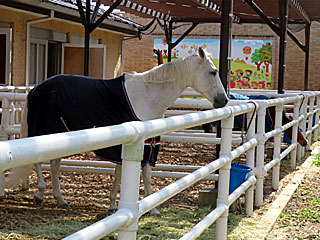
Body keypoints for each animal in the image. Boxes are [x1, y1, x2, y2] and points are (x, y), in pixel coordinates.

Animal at [7, 47, 228, 216]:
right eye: (213, 72)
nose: (224, 100)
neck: (146, 96)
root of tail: (36, 89)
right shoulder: (132, 144)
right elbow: (122, 173)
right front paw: (116, 204)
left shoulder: (147, 145)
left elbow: (142, 175)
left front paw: (150, 208)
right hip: (42, 133)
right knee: (38, 161)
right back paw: (40, 193)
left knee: (54, 165)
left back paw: (60, 199)